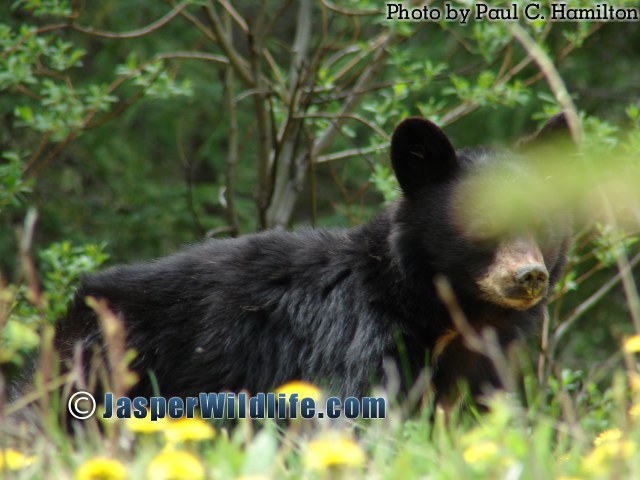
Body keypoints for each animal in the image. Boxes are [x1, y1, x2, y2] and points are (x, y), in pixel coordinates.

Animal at [55, 114, 572, 410]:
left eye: (541, 222)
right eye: (483, 224)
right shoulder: (356, 337)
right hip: (104, 363)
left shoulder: (481, 361)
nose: (529, 276)